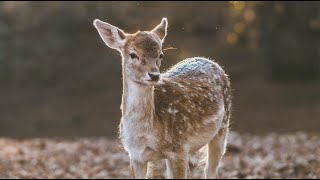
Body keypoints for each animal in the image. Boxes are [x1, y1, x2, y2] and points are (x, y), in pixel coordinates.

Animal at [93, 17, 232, 179]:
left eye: (161, 55)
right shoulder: (135, 156)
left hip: (223, 127)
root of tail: (208, 60)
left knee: (211, 170)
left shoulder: (179, 148)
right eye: (133, 54)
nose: (154, 75)